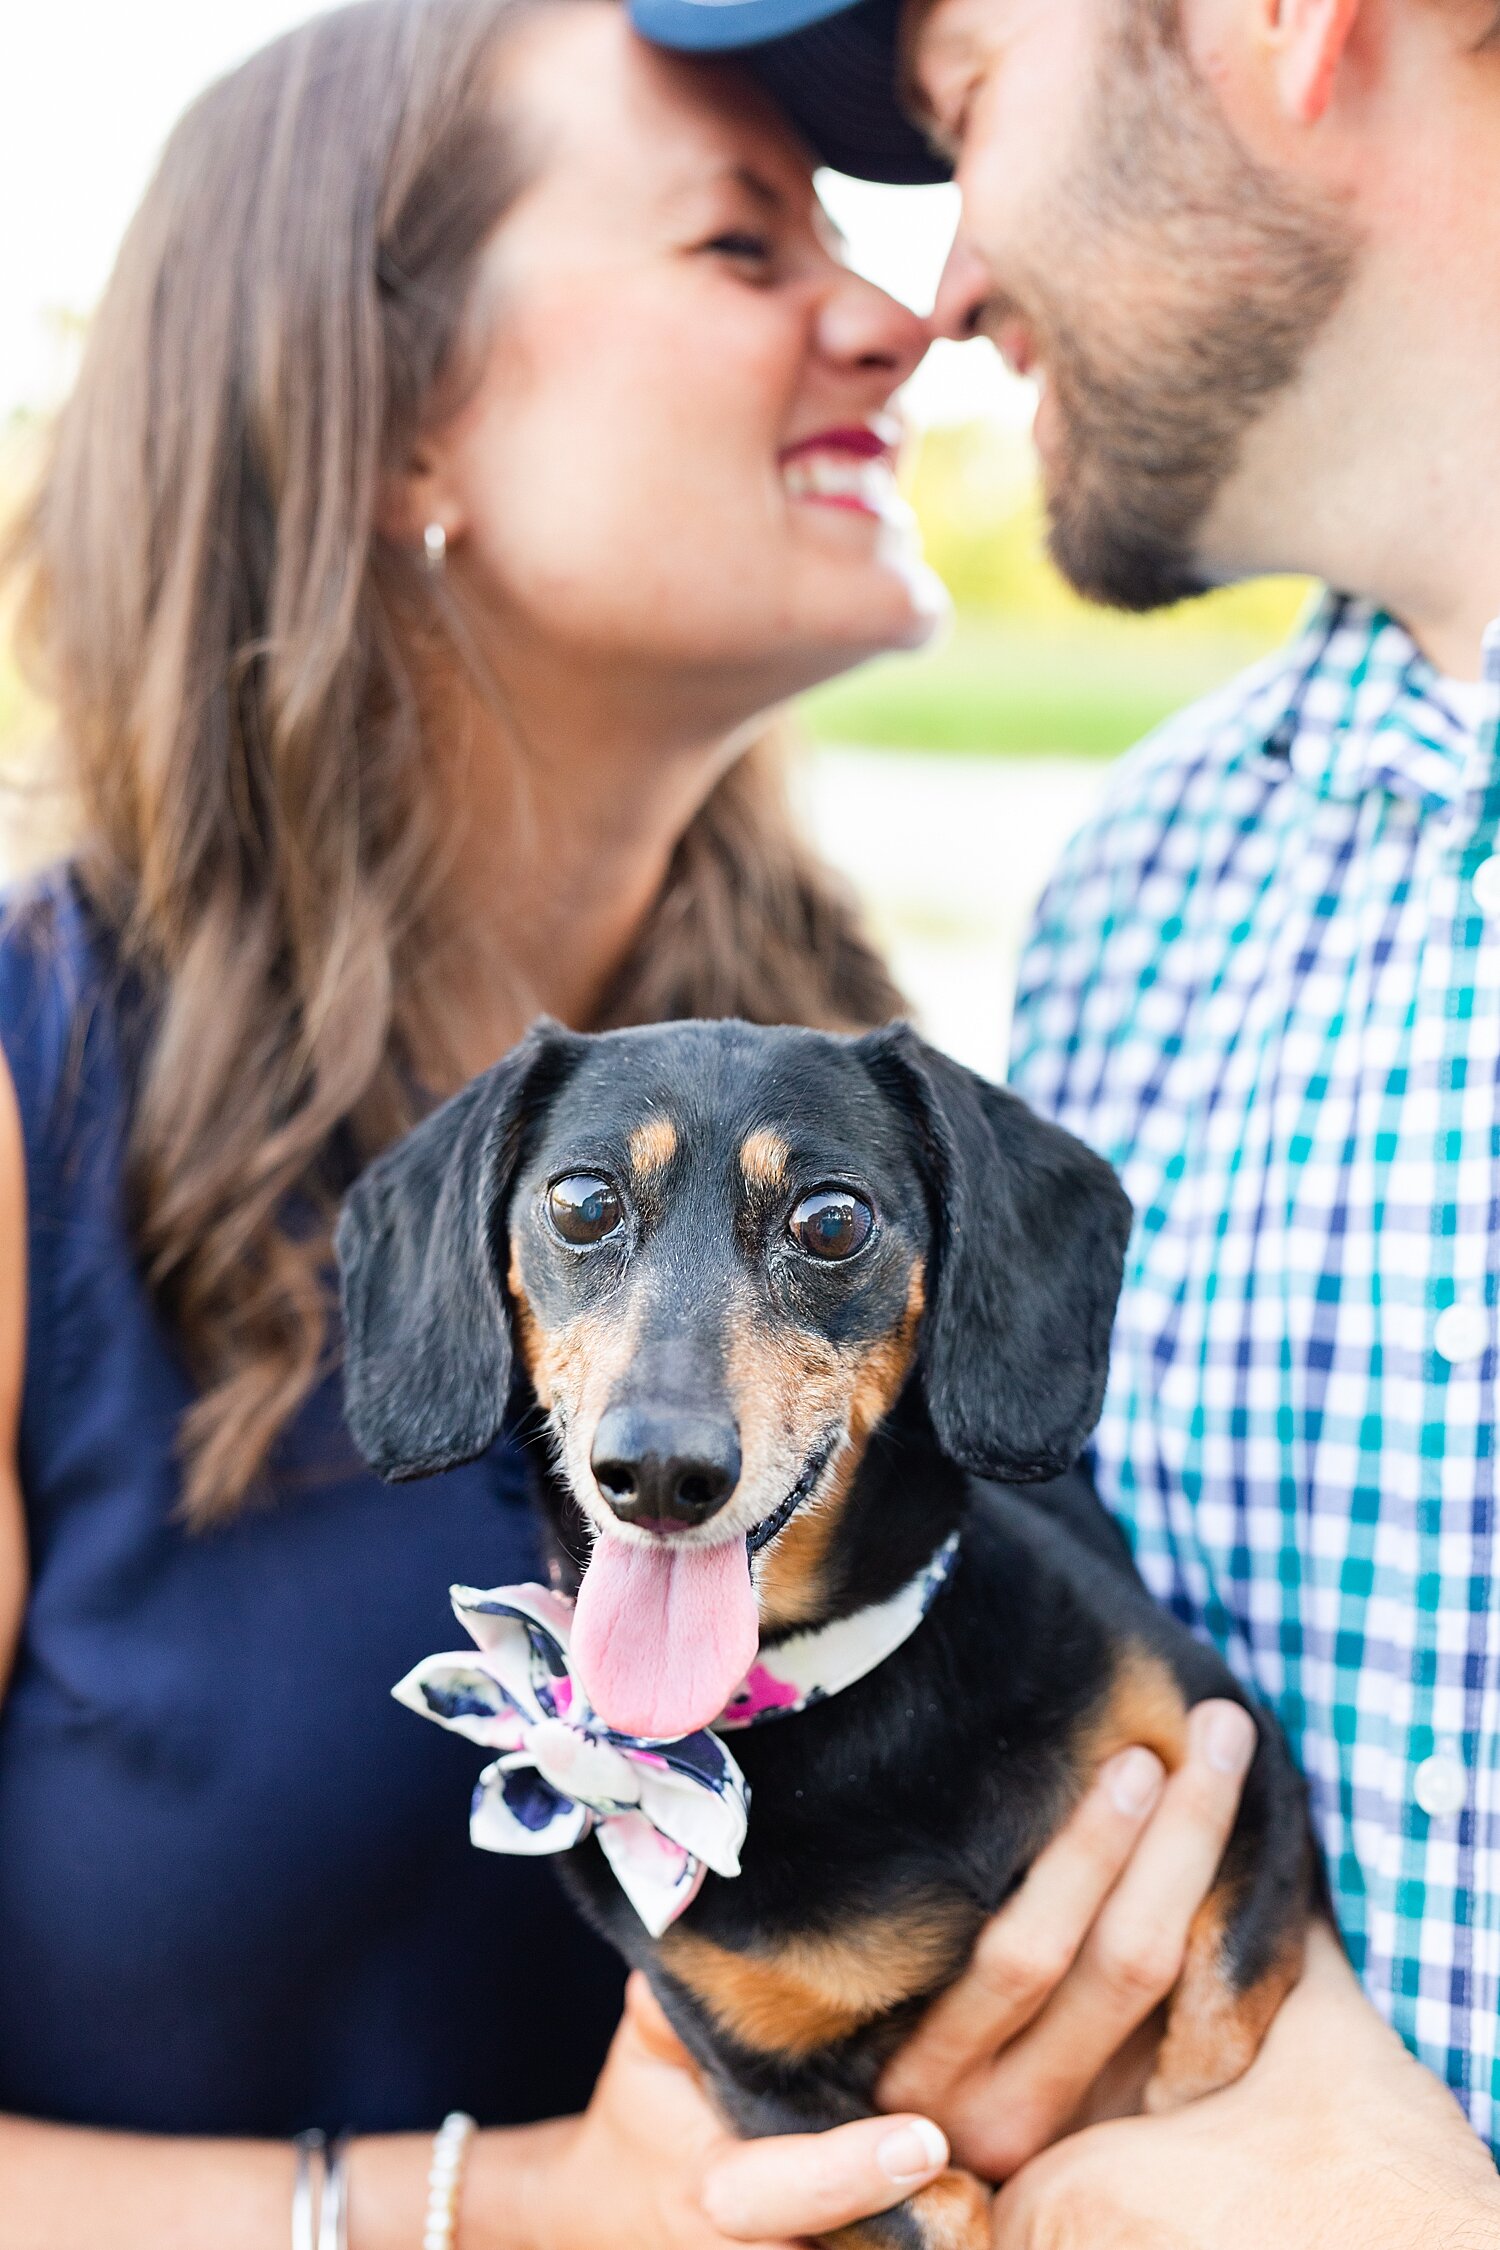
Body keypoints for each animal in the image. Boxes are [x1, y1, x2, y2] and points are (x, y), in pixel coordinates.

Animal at [337, 1021, 1313, 2250]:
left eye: (832, 1220)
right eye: (581, 1203)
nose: (659, 1472)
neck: (846, 1713)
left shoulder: (1245, 1765)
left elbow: (1216, 2041)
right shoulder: (779, 2105)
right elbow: (934, 2206)